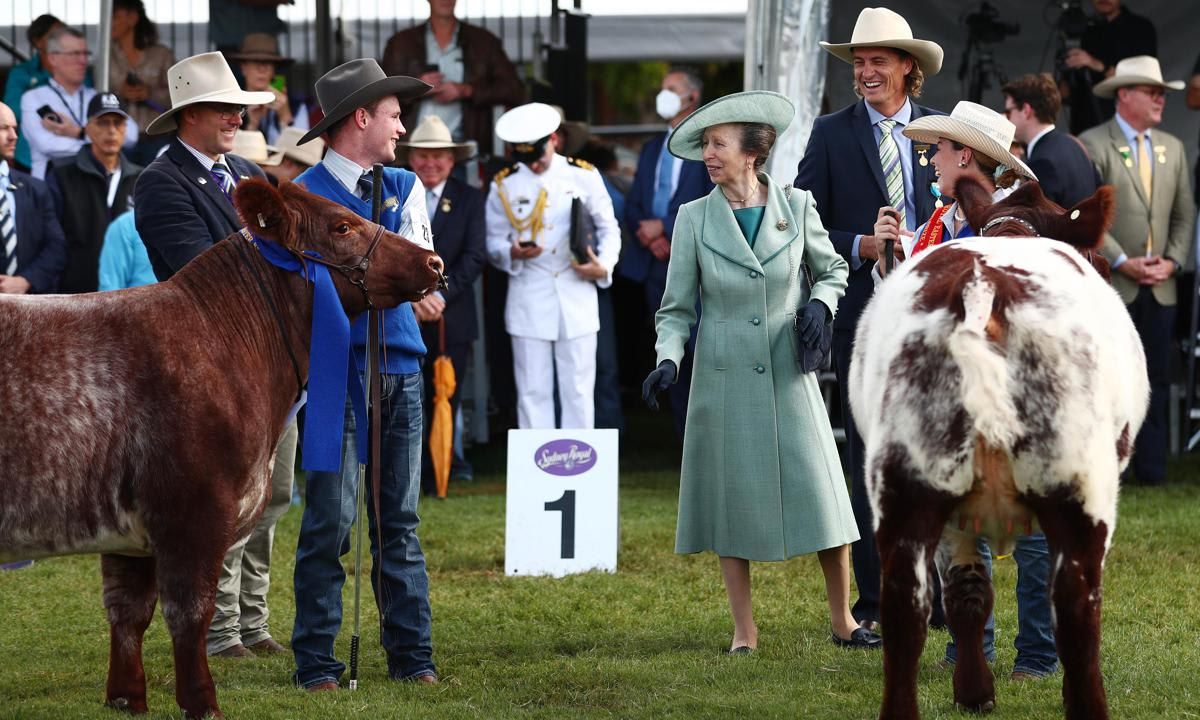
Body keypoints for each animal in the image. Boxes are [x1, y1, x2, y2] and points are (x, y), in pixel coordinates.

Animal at [0, 177, 444, 715]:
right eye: (342, 226)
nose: (434, 262)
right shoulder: (195, 508)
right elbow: (190, 611)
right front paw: (203, 703)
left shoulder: (128, 530)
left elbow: (127, 611)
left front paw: (127, 699)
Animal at [844, 178, 1142, 720]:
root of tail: (982, 288)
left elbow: (967, 594)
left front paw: (973, 692)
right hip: (1080, 484)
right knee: (1077, 605)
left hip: (909, 478)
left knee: (905, 606)